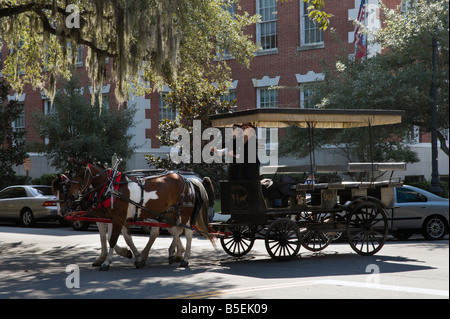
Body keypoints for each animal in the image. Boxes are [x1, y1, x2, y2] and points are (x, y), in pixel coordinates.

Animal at [64, 162, 216, 270]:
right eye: (71, 175)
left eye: (81, 174)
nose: (72, 196)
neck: (111, 188)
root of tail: (188, 181)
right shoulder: (116, 219)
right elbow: (122, 238)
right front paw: (134, 256)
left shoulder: (117, 219)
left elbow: (111, 239)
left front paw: (106, 262)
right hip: (170, 213)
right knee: (176, 230)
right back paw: (174, 254)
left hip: (184, 213)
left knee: (187, 233)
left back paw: (184, 259)